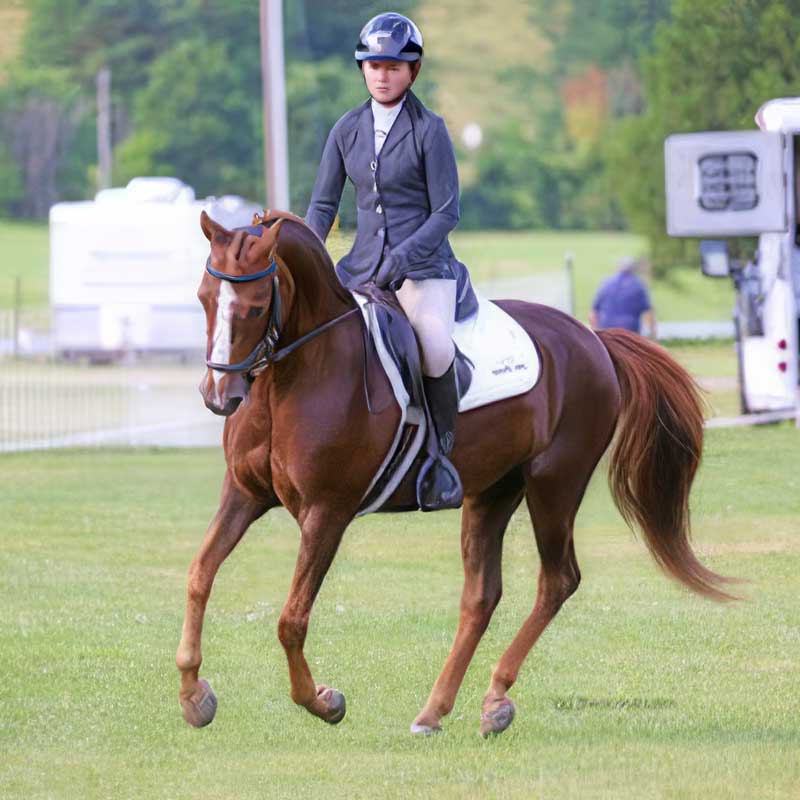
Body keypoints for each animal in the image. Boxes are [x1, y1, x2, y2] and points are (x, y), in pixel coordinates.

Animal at [176, 210, 733, 737]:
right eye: (203, 297)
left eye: (252, 307)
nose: (218, 397)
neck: (294, 376)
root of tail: (593, 339)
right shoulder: (244, 494)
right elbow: (200, 574)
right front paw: (193, 694)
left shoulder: (326, 512)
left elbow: (291, 620)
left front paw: (323, 701)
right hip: (492, 492)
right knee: (481, 596)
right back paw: (438, 710)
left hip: (555, 484)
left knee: (558, 581)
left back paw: (494, 697)